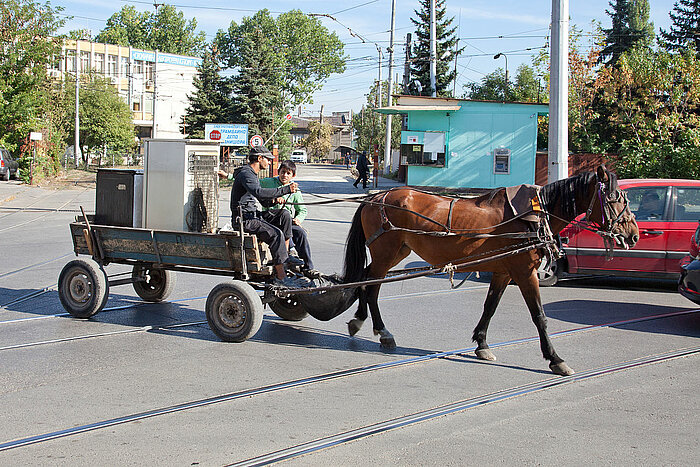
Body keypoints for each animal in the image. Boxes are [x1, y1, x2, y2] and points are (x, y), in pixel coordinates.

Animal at [342, 165, 636, 376]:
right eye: (615, 198)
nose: (633, 234)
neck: (533, 217)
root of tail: (376, 197)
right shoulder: (525, 272)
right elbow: (539, 315)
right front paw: (555, 359)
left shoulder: (504, 272)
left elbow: (490, 307)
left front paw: (482, 344)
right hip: (386, 253)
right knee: (370, 283)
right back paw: (379, 329)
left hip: (397, 252)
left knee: (368, 279)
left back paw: (364, 322)